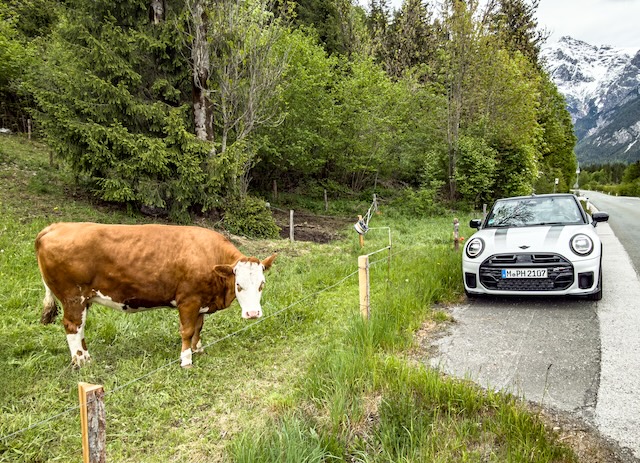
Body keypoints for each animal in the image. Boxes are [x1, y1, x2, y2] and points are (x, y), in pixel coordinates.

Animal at [35, 222, 277, 368]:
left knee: (80, 327)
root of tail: (56, 226)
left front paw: (198, 349)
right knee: (73, 326)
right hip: (72, 297)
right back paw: (81, 361)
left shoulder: (201, 301)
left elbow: (199, 328)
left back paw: (85, 355)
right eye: (239, 285)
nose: (253, 314)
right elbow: (187, 330)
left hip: (83, 300)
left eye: (262, 284)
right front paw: (186, 359)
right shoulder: (188, 300)